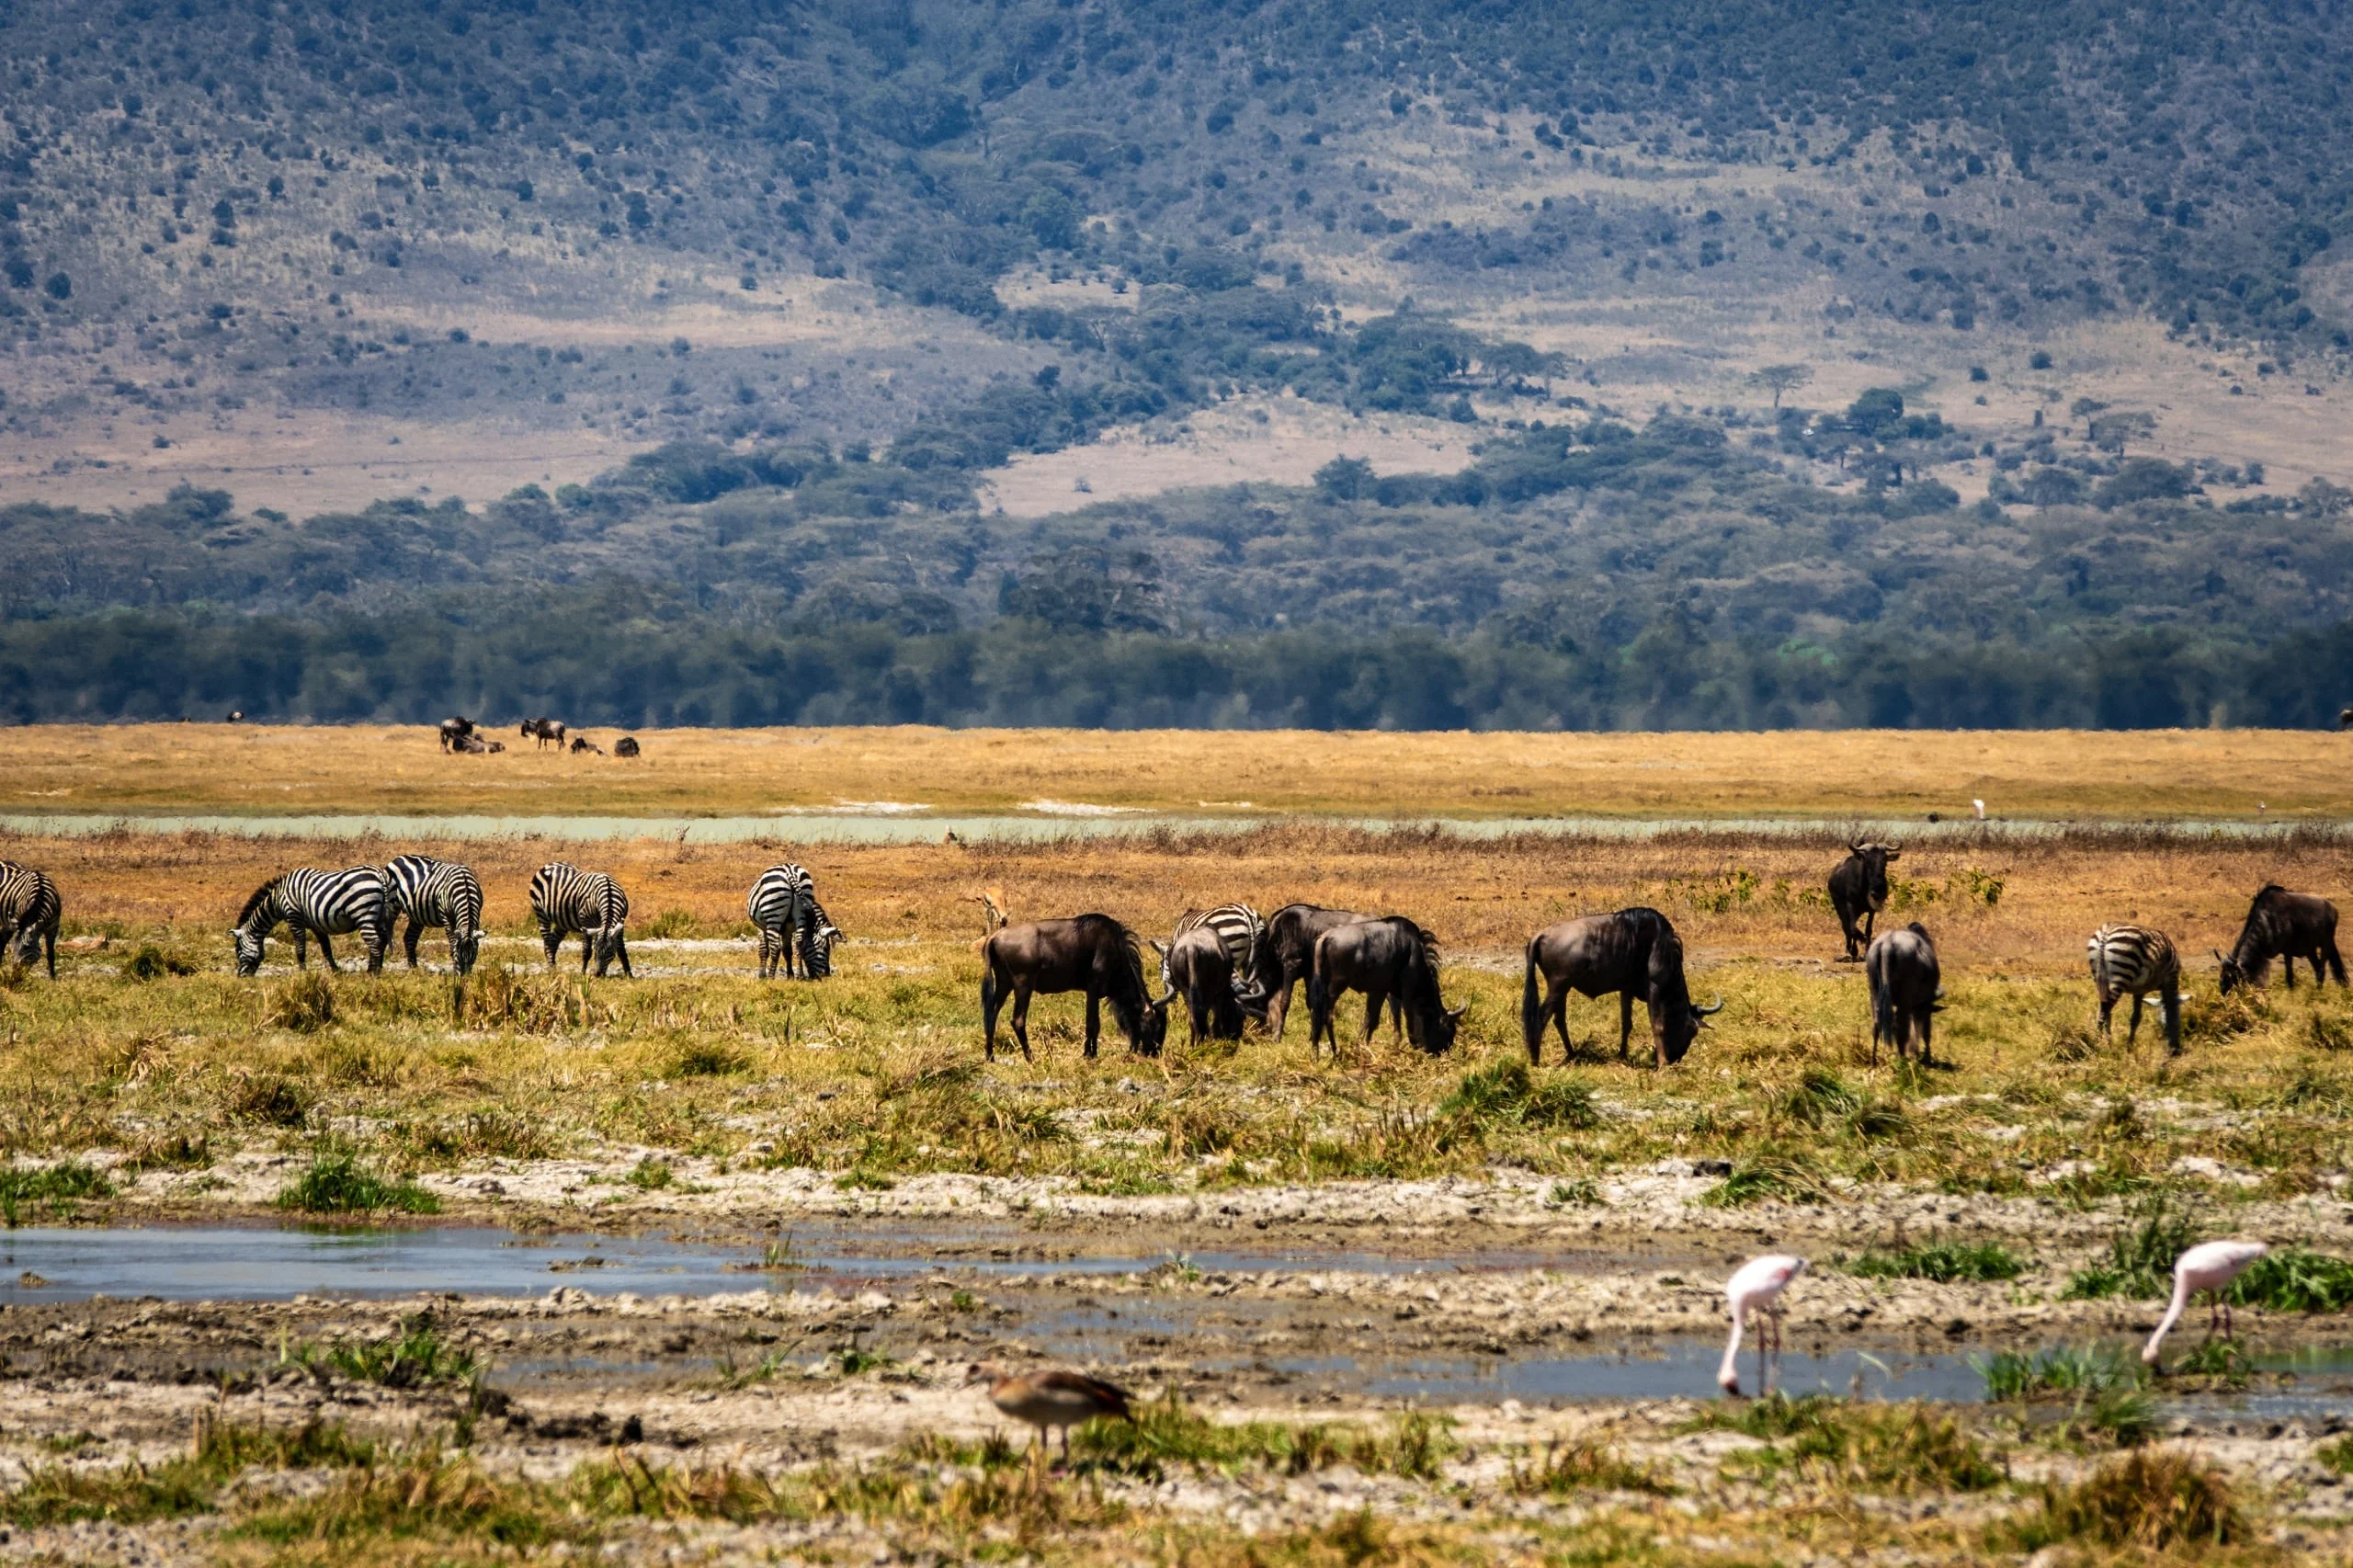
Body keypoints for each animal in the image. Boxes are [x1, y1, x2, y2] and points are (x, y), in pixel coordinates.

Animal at [0, 857, 63, 979]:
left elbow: (50, 954)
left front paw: (53, 978)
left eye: (26, 947)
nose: (15, 977)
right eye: (13, 948)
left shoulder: (53, 928)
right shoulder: (17, 919)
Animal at [230, 861, 390, 970]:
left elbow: (300, 950)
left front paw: (303, 973)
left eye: (238, 951)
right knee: (382, 941)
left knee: (375, 943)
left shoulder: (294, 918)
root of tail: (378, 874)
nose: (241, 978)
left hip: (364, 915)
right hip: (380, 917)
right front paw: (336, 971)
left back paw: (373, 973)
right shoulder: (316, 925)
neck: (278, 900)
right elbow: (326, 949)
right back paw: (377, 969)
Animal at [383, 847, 484, 970]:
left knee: (410, 938)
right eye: (457, 957)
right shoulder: (446, 916)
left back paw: (414, 969)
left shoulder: (477, 914)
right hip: (392, 905)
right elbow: (452, 942)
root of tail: (398, 858)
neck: (466, 889)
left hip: (418, 913)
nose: (463, 975)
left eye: (473, 958)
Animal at [2089, 918, 2174, 1050]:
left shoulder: (2139, 990)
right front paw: (2130, 1046)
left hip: (2099, 978)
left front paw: (2129, 1044)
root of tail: (2106, 934)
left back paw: (2108, 1042)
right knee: (2104, 1012)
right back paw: (2097, 1043)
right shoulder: (2169, 979)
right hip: (2121, 970)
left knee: (2105, 1011)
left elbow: (2135, 1017)